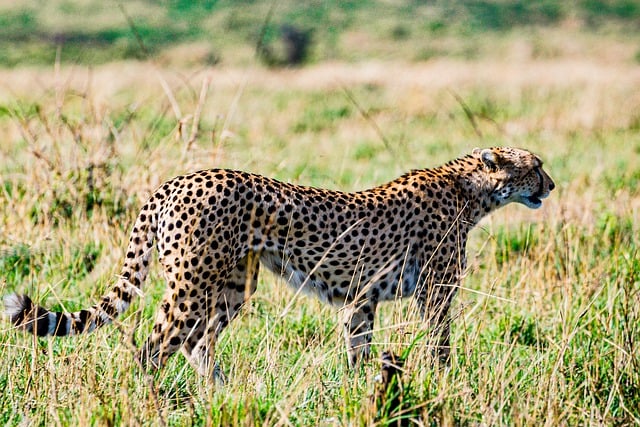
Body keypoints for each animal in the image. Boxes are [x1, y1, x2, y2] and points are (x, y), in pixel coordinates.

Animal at [3, 147, 556, 382]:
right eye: (535, 165)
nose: (551, 185)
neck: (472, 188)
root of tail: (177, 180)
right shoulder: (435, 292)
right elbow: (441, 346)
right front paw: (445, 382)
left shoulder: (361, 299)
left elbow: (358, 350)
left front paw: (356, 392)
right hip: (191, 285)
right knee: (153, 349)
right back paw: (148, 402)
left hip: (231, 285)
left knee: (197, 344)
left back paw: (222, 395)